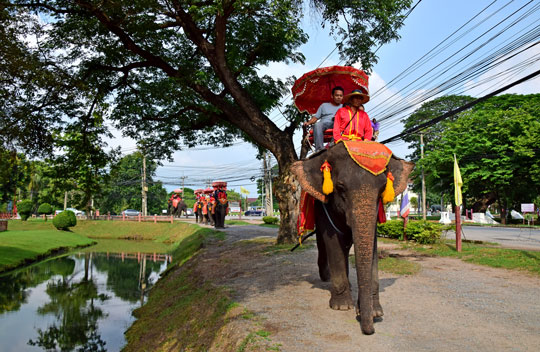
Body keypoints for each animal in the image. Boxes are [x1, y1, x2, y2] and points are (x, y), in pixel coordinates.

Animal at [292, 142, 414, 334]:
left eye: (382, 189)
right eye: (340, 187)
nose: (370, 330)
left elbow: (371, 244)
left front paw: (375, 312)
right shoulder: (324, 205)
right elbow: (333, 242)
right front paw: (342, 307)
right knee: (323, 243)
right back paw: (327, 277)